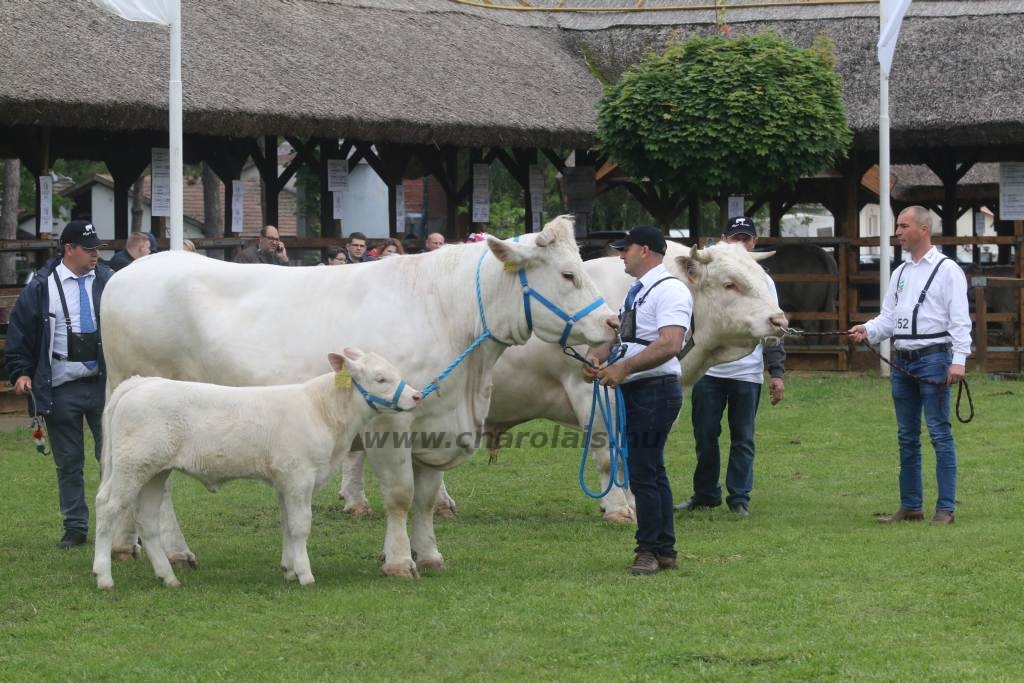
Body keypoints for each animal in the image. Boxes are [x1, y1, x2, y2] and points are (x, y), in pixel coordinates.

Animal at [92, 350, 419, 589]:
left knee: (147, 519)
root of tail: (140, 383)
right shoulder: (299, 476)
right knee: (107, 507)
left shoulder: (284, 481)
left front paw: (289, 569)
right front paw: (305, 574)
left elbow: (287, 524)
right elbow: (301, 525)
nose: (416, 395)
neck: (321, 410)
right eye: (380, 378)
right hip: (132, 466)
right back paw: (104, 576)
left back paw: (168, 577)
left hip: (154, 471)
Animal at [339, 242, 786, 520]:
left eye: (763, 277)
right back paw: (359, 501)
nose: (780, 320)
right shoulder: (590, 387)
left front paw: (632, 500)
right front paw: (617, 507)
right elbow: (608, 451)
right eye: (730, 284)